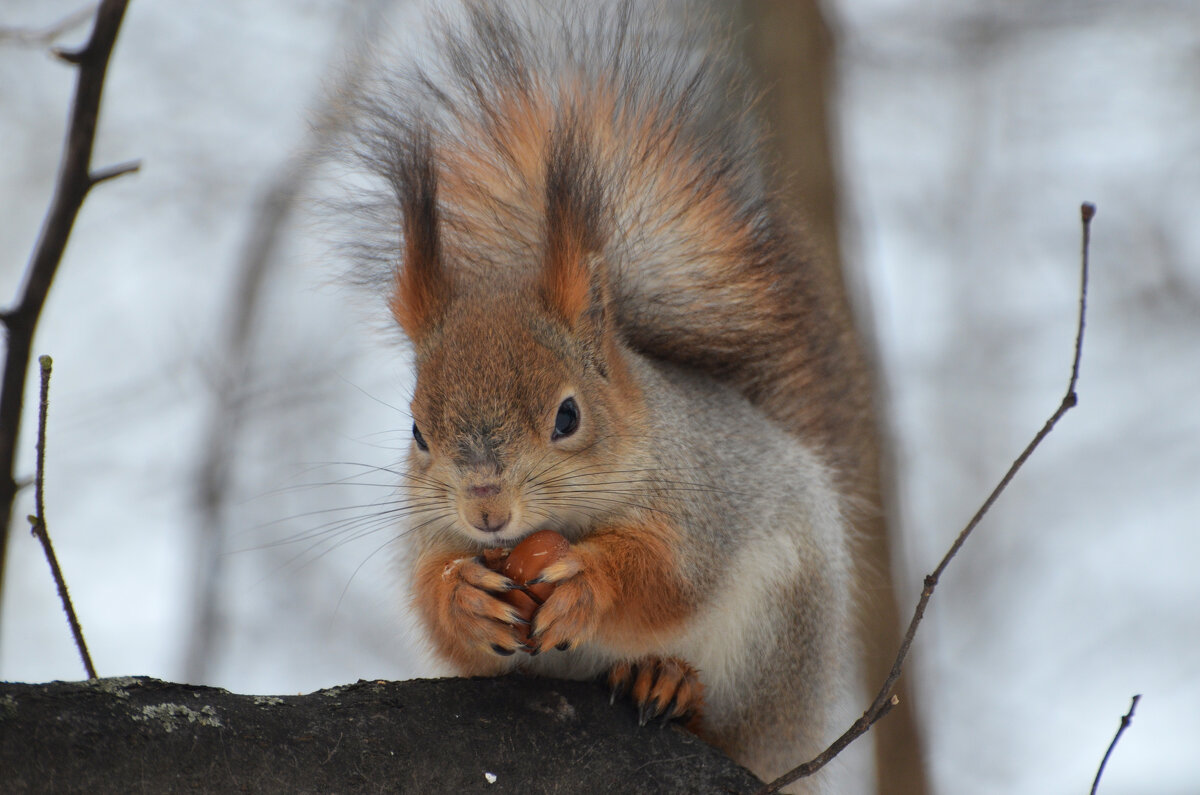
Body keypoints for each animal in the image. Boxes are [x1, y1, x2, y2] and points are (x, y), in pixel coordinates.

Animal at [343, 0, 878, 787]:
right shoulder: (430, 533)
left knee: (734, 730)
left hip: (778, 638)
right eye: (417, 434)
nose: (487, 510)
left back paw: (671, 683)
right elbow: (440, 614)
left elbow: (668, 577)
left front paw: (585, 583)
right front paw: (462, 596)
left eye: (568, 415)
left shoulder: (700, 500)